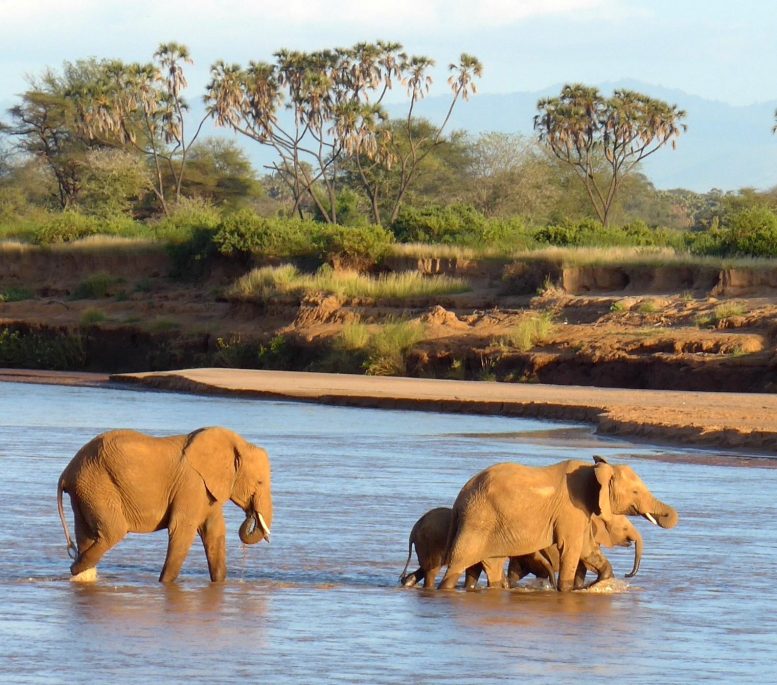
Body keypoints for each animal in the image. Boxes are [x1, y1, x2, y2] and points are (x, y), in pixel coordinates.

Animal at [57, 426, 273, 582]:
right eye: (260, 482)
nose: (250, 515)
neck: (237, 443)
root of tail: (66, 473)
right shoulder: (191, 484)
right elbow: (182, 529)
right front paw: (165, 584)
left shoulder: (206, 490)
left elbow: (214, 531)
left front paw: (219, 584)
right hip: (97, 486)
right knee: (113, 531)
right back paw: (75, 569)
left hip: (86, 490)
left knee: (87, 534)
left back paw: (80, 573)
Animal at [438, 456, 677, 592]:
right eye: (635, 492)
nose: (628, 575)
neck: (595, 470)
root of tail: (460, 498)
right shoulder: (571, 508)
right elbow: (572, 548)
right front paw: (569, 590)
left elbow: (586, 548)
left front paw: (595, 584)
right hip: (478, 521)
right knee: (458, 563)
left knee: (491, 566)